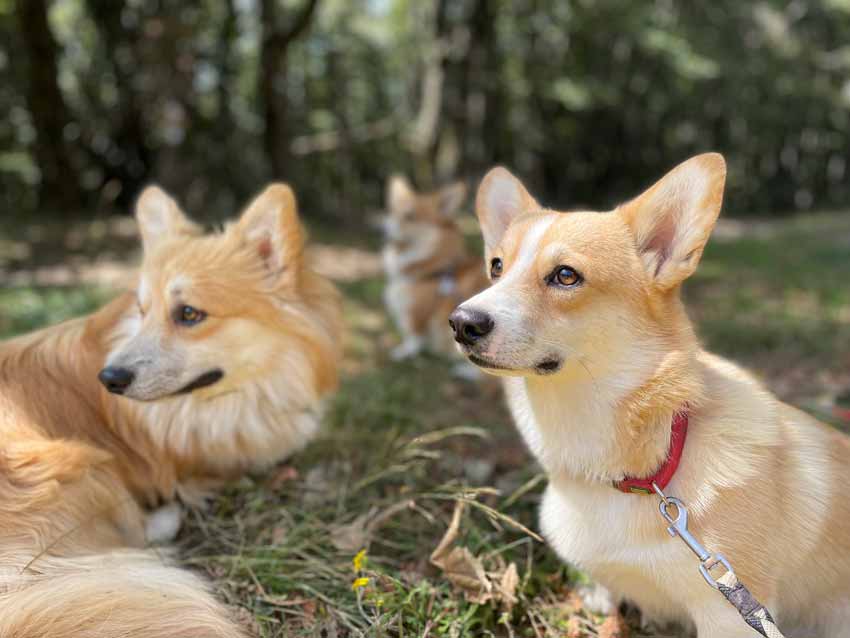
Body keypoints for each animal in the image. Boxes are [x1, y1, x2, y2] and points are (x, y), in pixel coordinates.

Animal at [382, 175, 488, 360]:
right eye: (394, 213)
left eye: (410, 217)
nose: (385, 230)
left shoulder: (416, 313)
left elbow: (413, 337)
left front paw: (402, 352)